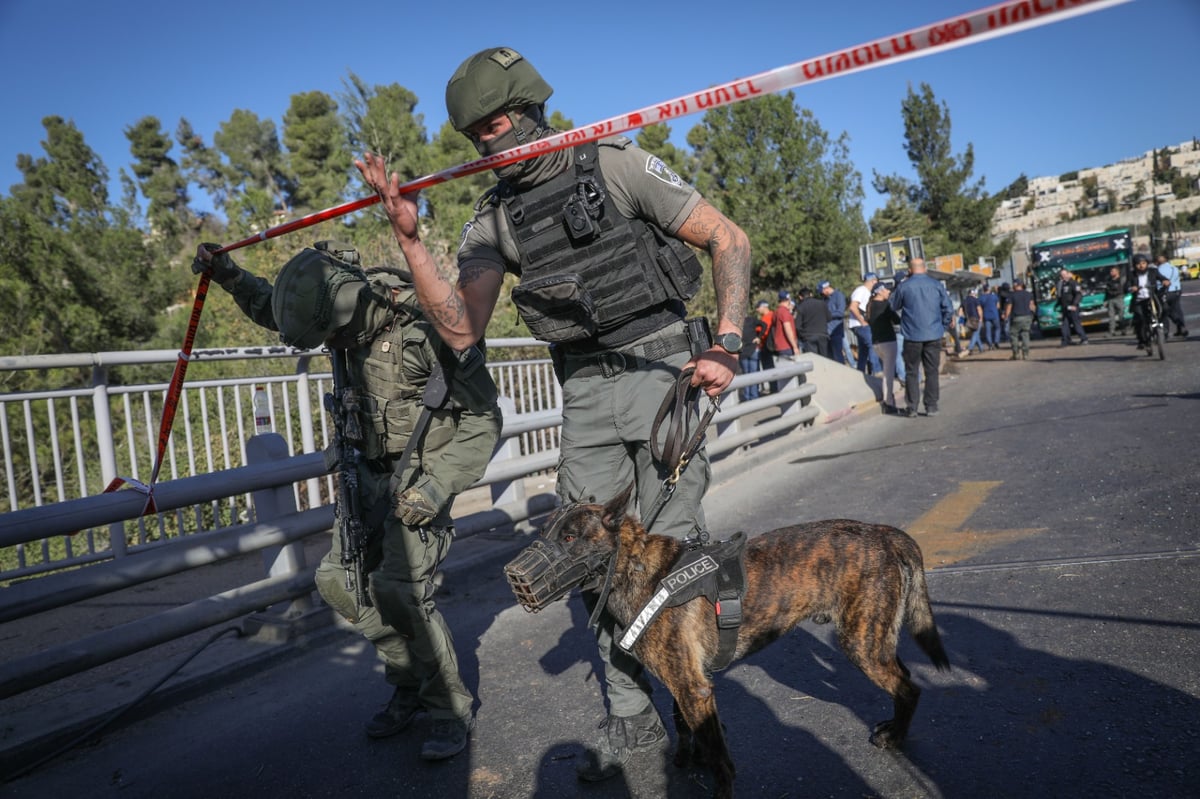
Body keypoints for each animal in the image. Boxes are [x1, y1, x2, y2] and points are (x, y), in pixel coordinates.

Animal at [542, 479, 945, 796]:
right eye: (546, 534)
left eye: (569, 537)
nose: (520, 580)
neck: (635, 566)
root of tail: (883, 532)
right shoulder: (688, 682)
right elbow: (684, 722)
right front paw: (689, 756)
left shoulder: (692, 687)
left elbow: (718, 755)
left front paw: (719, 785)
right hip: (875, 638)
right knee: (905, 676)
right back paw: (893, 726)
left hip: (862, 644)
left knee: (909, 688)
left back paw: (896, 737)